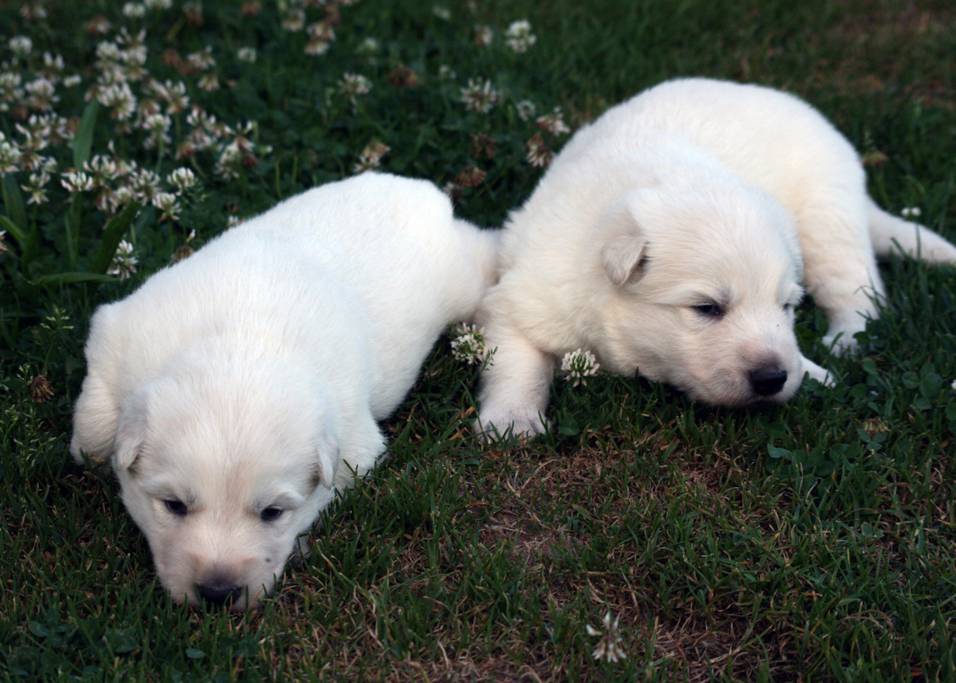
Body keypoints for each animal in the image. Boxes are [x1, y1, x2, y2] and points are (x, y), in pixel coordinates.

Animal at [73, 172, 500, 608]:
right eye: (173, 505)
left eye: (273, 513)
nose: (218, 594)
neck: (239, 342)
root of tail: (421, 192)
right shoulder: (114, 339)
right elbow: (93, 431)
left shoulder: (354, 444)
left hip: (462, 278)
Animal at [478, 76, 956, 438]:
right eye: (707, 308)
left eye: (786, 306)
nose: (773, 378)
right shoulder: (526, 295)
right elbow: (518, 361)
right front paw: (512, 421)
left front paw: (814, 372)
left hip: (827, 216)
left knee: (859, 289)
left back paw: (847, 338)